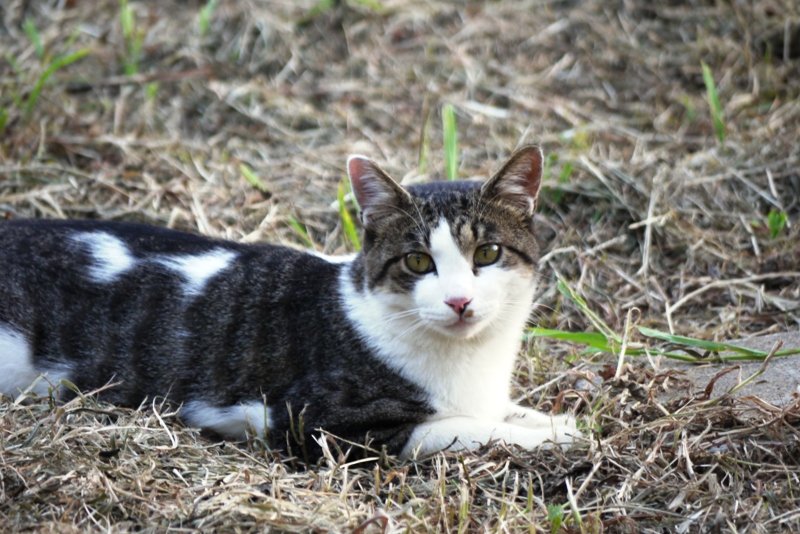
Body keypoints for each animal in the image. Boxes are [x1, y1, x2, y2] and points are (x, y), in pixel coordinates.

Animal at [0, 146, 576, 460]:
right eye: (417, 262)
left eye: (488, 253)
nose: (459, 301)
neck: (470, 362)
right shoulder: (318, 423)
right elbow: (463, 428)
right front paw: (551, 439)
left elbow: (502, 412)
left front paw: (552, 423)